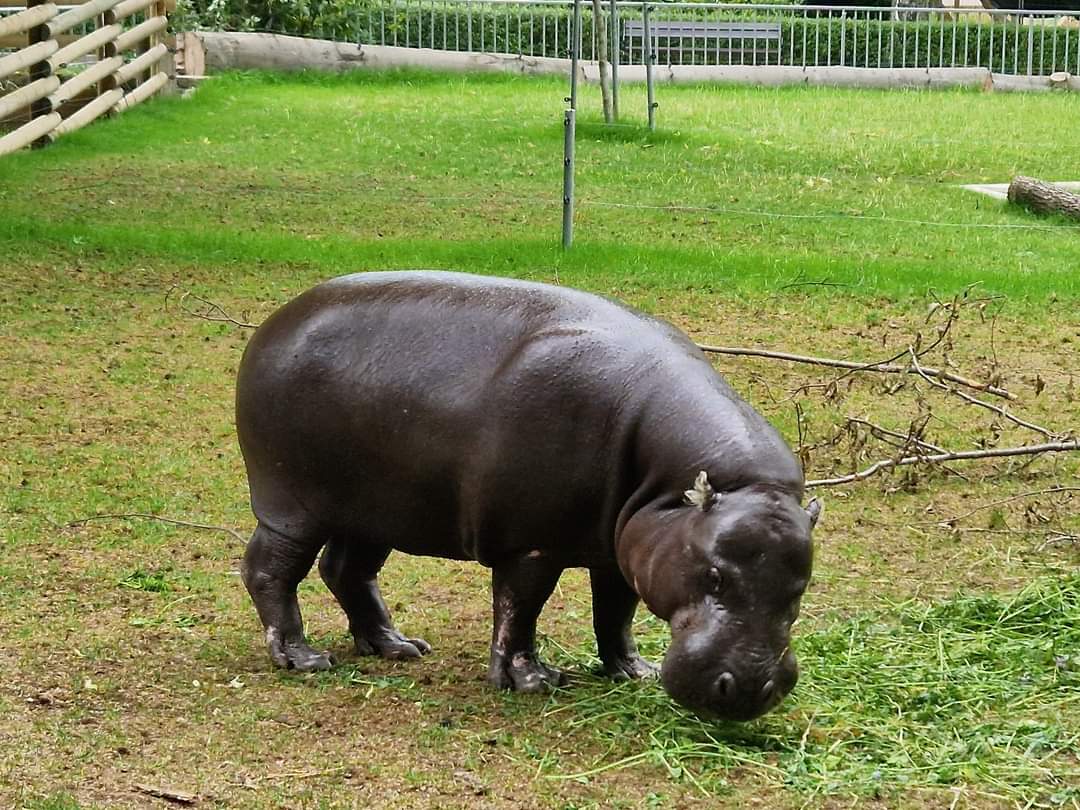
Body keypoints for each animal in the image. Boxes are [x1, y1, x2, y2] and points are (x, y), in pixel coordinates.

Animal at [236, 271, 820, 721]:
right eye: (715, 575)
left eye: (801, 588)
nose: (748, 690)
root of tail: (274, 323)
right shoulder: (531, 543)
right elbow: (521, 608)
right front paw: (533, 682)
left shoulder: (625, 546)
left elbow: (616, 612)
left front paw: (635, 672)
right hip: (293, 505)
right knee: (269, 569)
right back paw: (302, 658)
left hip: (376, 509)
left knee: (346, 570)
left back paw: (399, 648)